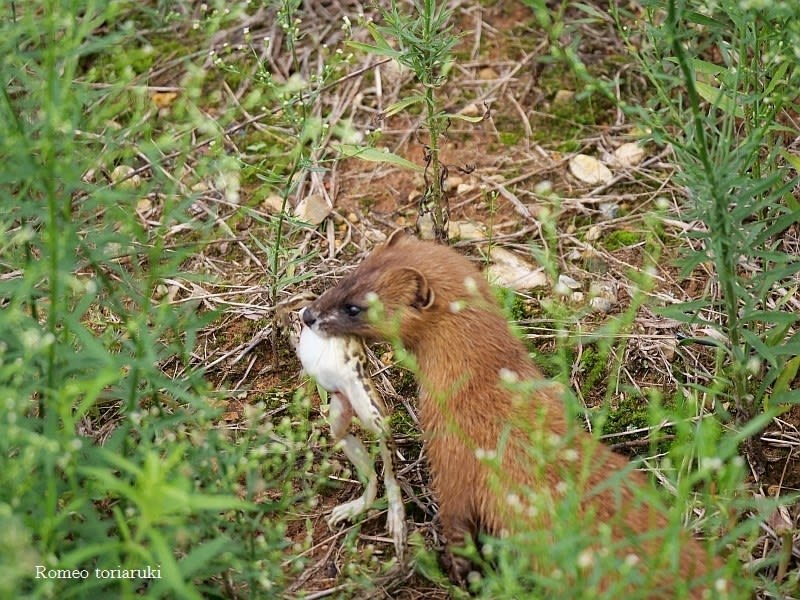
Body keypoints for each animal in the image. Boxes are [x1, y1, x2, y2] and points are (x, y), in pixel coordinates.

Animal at [300, 230, 724, 596]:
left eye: (355, 307)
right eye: (346, 278)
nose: (307, 314)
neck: (483, 383)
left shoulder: (453, 462)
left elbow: (458, 529)